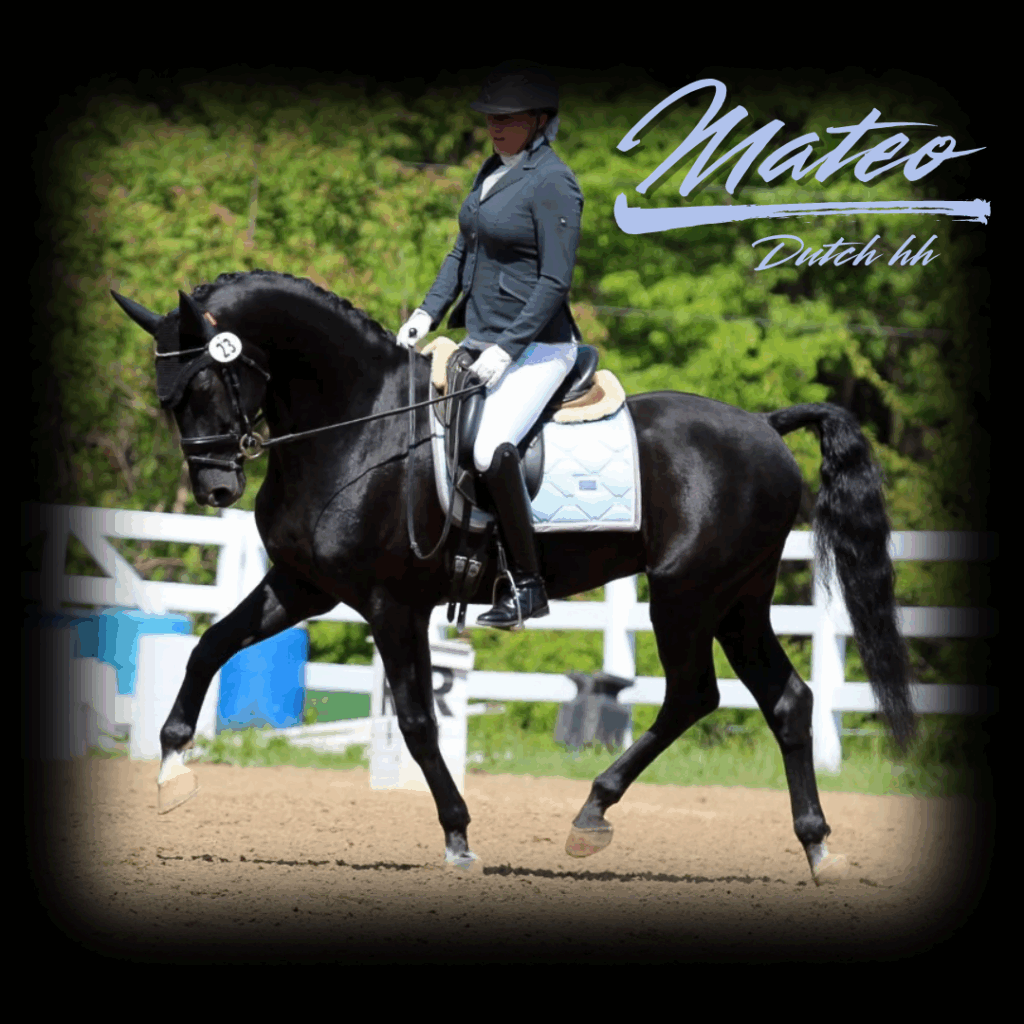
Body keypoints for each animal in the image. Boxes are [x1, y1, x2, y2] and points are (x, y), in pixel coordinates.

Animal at [111, 268, 915, 885]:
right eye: (167, 396)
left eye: (206, 383)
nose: (216, 488)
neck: (360, 425)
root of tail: (765, 427)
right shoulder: (303, 585)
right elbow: (209, 645)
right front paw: (171, 770)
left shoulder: (393, 604)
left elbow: (417, 720)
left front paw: (459, 838)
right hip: (738, 601)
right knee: (786, 701)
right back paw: (816, 847)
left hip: (687, 596)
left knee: (694, 695)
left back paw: (592, 815)